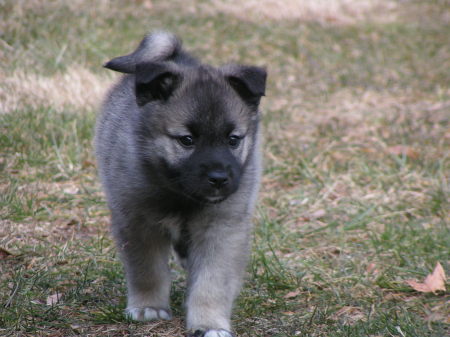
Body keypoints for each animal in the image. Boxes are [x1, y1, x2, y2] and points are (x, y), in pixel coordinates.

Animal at [93, 32, 266, 336]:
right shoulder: (138, 222)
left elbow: (212, 282)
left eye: (233, 139)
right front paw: (148, 306)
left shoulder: (222, 228)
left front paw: (209, 323)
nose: (219, 179)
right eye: (187, 140)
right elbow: (147, 270)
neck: (181, 193)